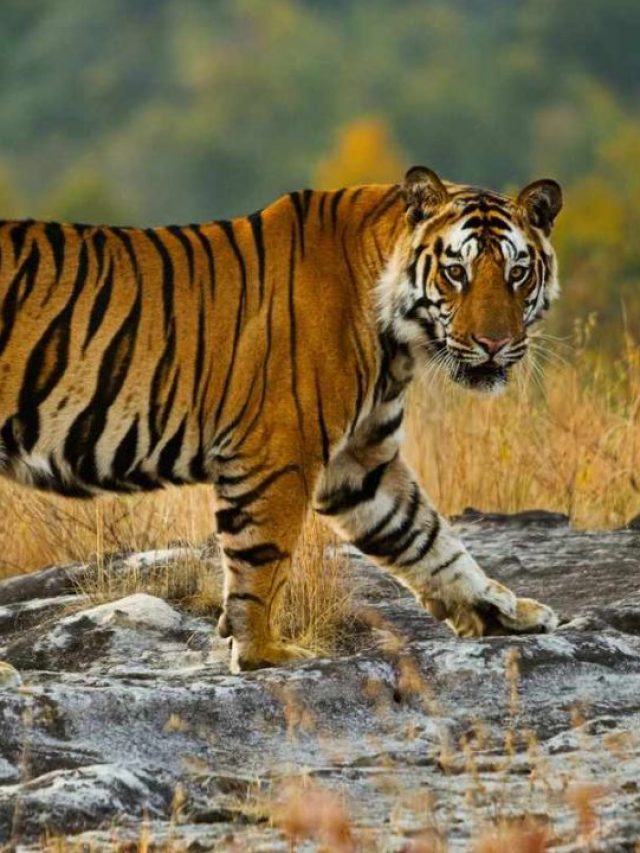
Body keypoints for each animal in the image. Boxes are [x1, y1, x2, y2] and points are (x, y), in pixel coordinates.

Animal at [0, 165, 562, 672]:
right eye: (455, 272)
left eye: (516, 273)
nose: (494, 344)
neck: (398, 340)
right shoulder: (278, 450)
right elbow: (262, 561)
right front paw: (263, 653)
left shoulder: (361, 463)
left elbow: (428, 539)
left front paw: (503, 611)